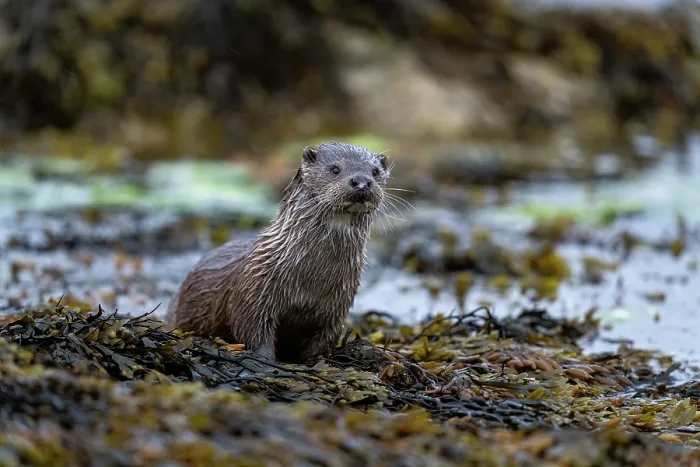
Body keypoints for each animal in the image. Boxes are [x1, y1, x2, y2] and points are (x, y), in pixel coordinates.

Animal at [165, 142, 390, 363]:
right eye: (335, 169)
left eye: (375, 171)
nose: (361, 182)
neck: (310, 277)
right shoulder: (253, 293)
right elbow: (253, 331)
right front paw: (265, 359)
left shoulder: (337, 307)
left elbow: (322, 341)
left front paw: (316, 360)